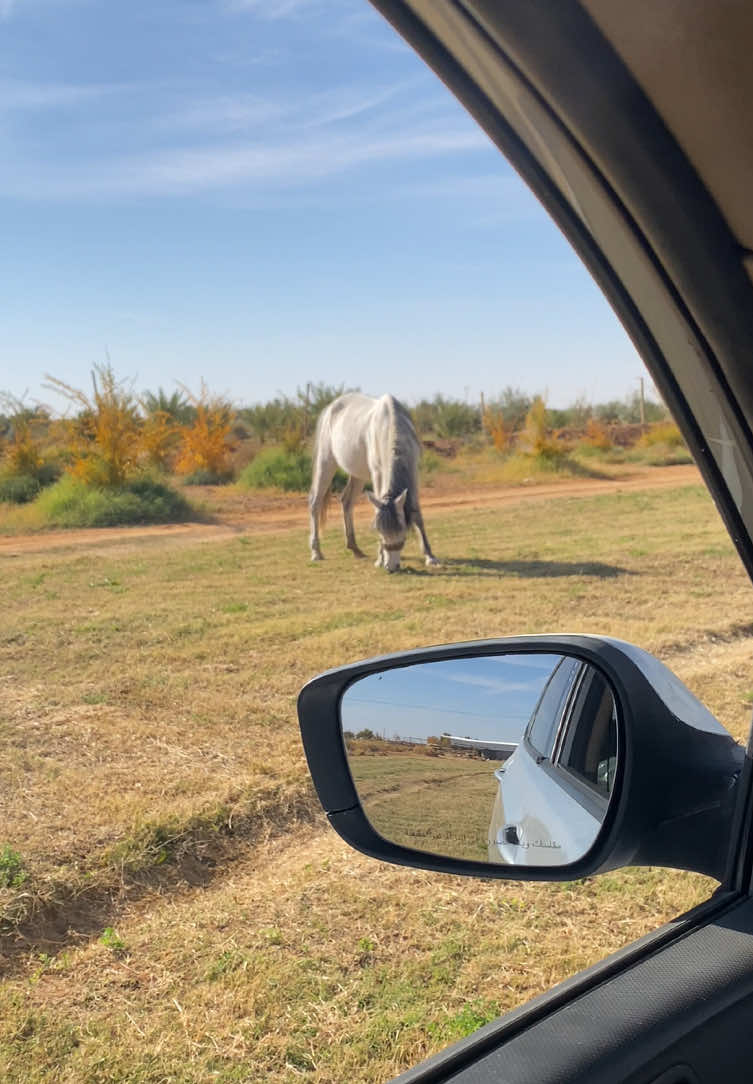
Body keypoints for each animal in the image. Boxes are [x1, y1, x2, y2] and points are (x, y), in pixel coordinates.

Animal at [307, 394, 439, 572]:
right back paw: (316, 552)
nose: (391, 568)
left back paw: (355, 548)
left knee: (347, 501)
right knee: (315, 502)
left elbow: (416, 513)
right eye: (381, 533)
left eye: (402, 533)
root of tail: (330, 408)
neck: (391, 426)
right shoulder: (377, 474)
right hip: (326, 463)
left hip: (358, 474)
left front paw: (430, 556)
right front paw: (379, 559)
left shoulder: (413, 472)